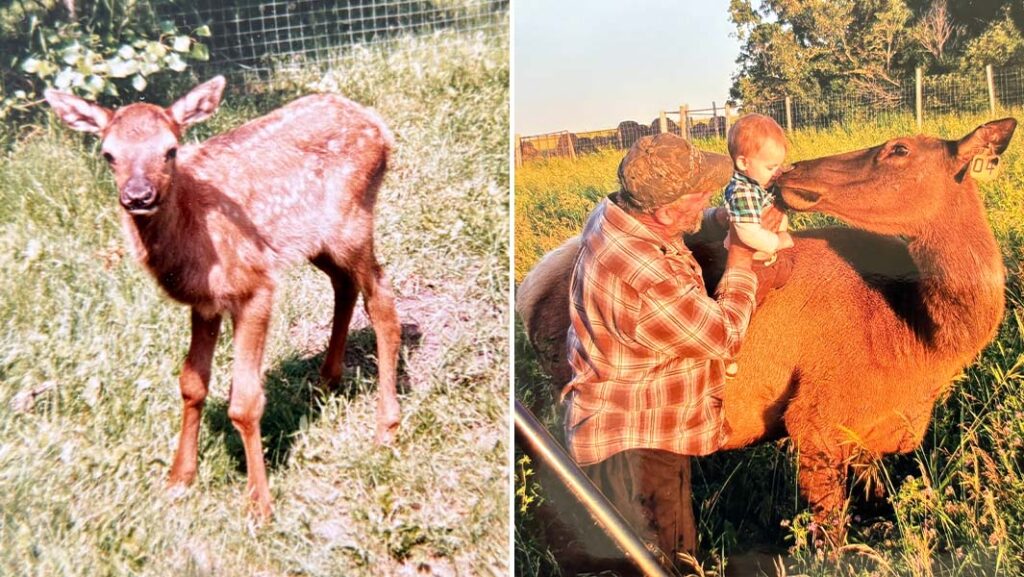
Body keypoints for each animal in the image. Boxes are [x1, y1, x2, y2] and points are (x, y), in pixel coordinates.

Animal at [45, 76, 402, 518]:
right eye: (108, 153)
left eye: (170, 149)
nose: (138, 195)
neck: (193, 233)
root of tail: (377, 125)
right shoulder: (205, 303)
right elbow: (191, 384)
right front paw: (179, 479)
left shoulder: (254, 287)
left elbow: (244, 402)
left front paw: (259, 503)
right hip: (319, 241)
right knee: (345, 285)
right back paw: (326, 380)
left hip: (353, 222)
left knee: (381, 296)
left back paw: (385, 427)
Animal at [516, 118, 1017, 549]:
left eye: (899, 149)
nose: (792, 170)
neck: (917, 345)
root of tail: (528, 290)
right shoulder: (814, 419)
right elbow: (831, 537)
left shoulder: (871, 438)